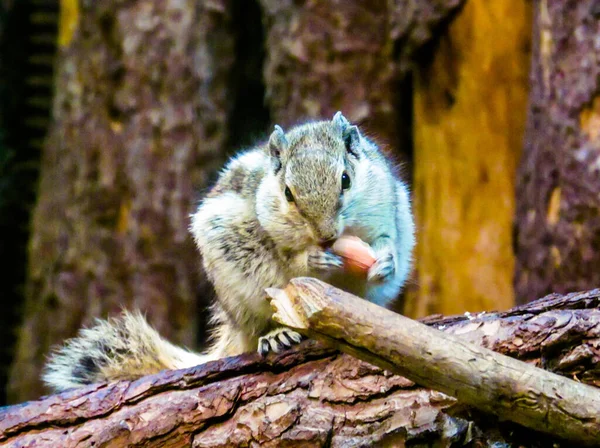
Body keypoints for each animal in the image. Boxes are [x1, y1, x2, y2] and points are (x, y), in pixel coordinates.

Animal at [42, 112, 414, 392]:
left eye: (346, 179)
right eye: (288, 193)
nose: (326, 237)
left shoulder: (388, 211)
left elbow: (386, 238)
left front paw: (386, 261)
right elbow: (287, 258)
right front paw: (311, 258)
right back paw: (277, 335)